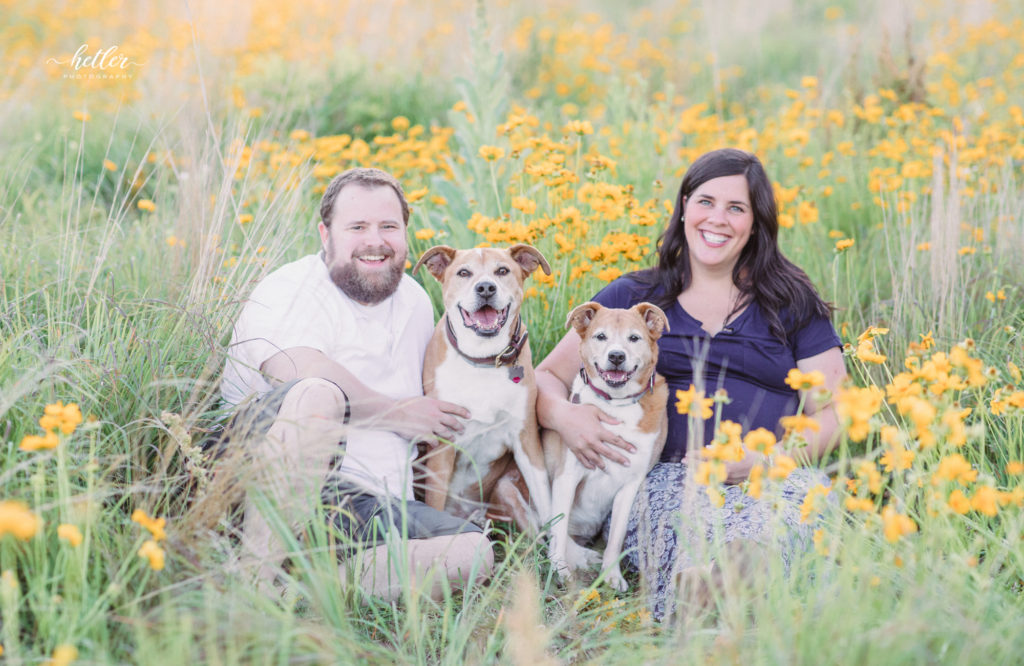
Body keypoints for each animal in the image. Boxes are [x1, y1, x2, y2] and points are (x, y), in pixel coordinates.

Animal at [411, 242, 552, 528]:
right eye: (464, 273)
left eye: (502, 271)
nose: (486, 288)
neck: (482, 360)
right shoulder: (443, 445)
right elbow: (435, 501)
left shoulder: (527, 440)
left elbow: (549, 510)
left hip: (506, 490)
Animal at [540, 299, 667, 586]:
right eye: (600, 336)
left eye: (634, 338)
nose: (616, 356)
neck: (616, 405)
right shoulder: (568, 475)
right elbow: (558, 526)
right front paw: (560, 569)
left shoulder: (630, 485)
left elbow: (617, 536)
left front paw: (611, 575)